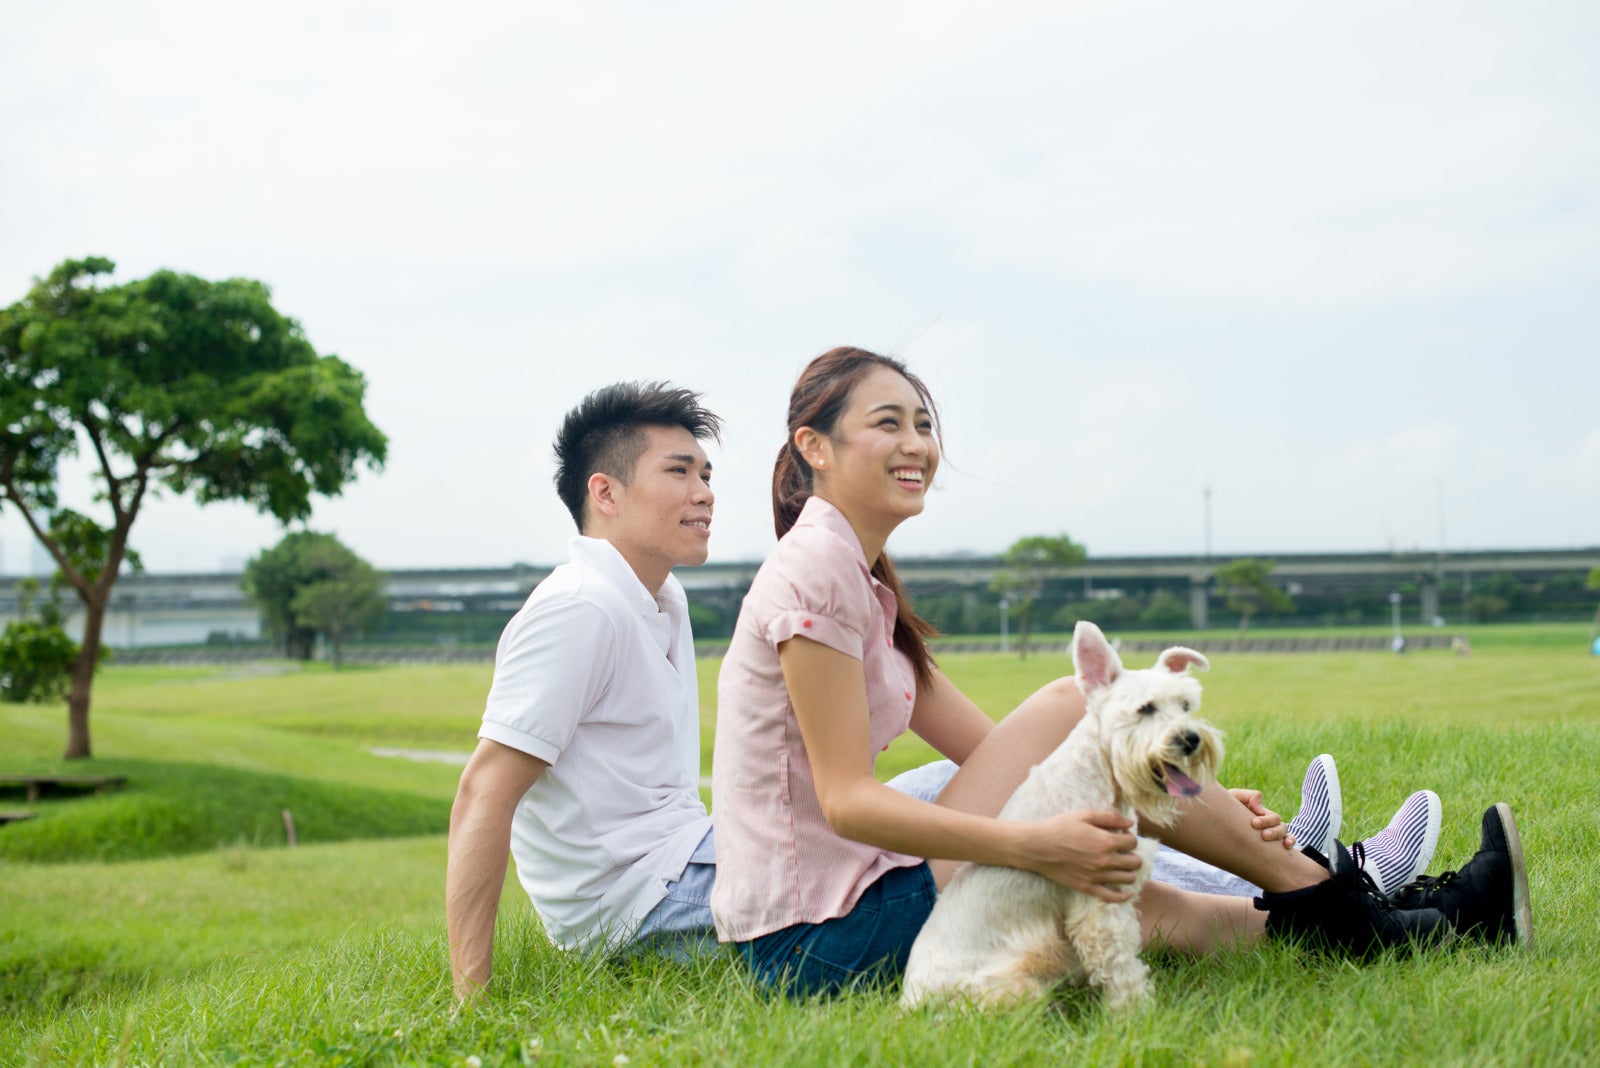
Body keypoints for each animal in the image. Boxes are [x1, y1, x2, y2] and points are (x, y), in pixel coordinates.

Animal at [902, 617, 1222, 1010]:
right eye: (1145, 708)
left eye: (1186, 705)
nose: (1191, 739)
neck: (1095, 776)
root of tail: (907, 1004)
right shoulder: (1100, 904)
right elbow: (1122, 967)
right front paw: (1137, 1013)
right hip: (1014, 987)